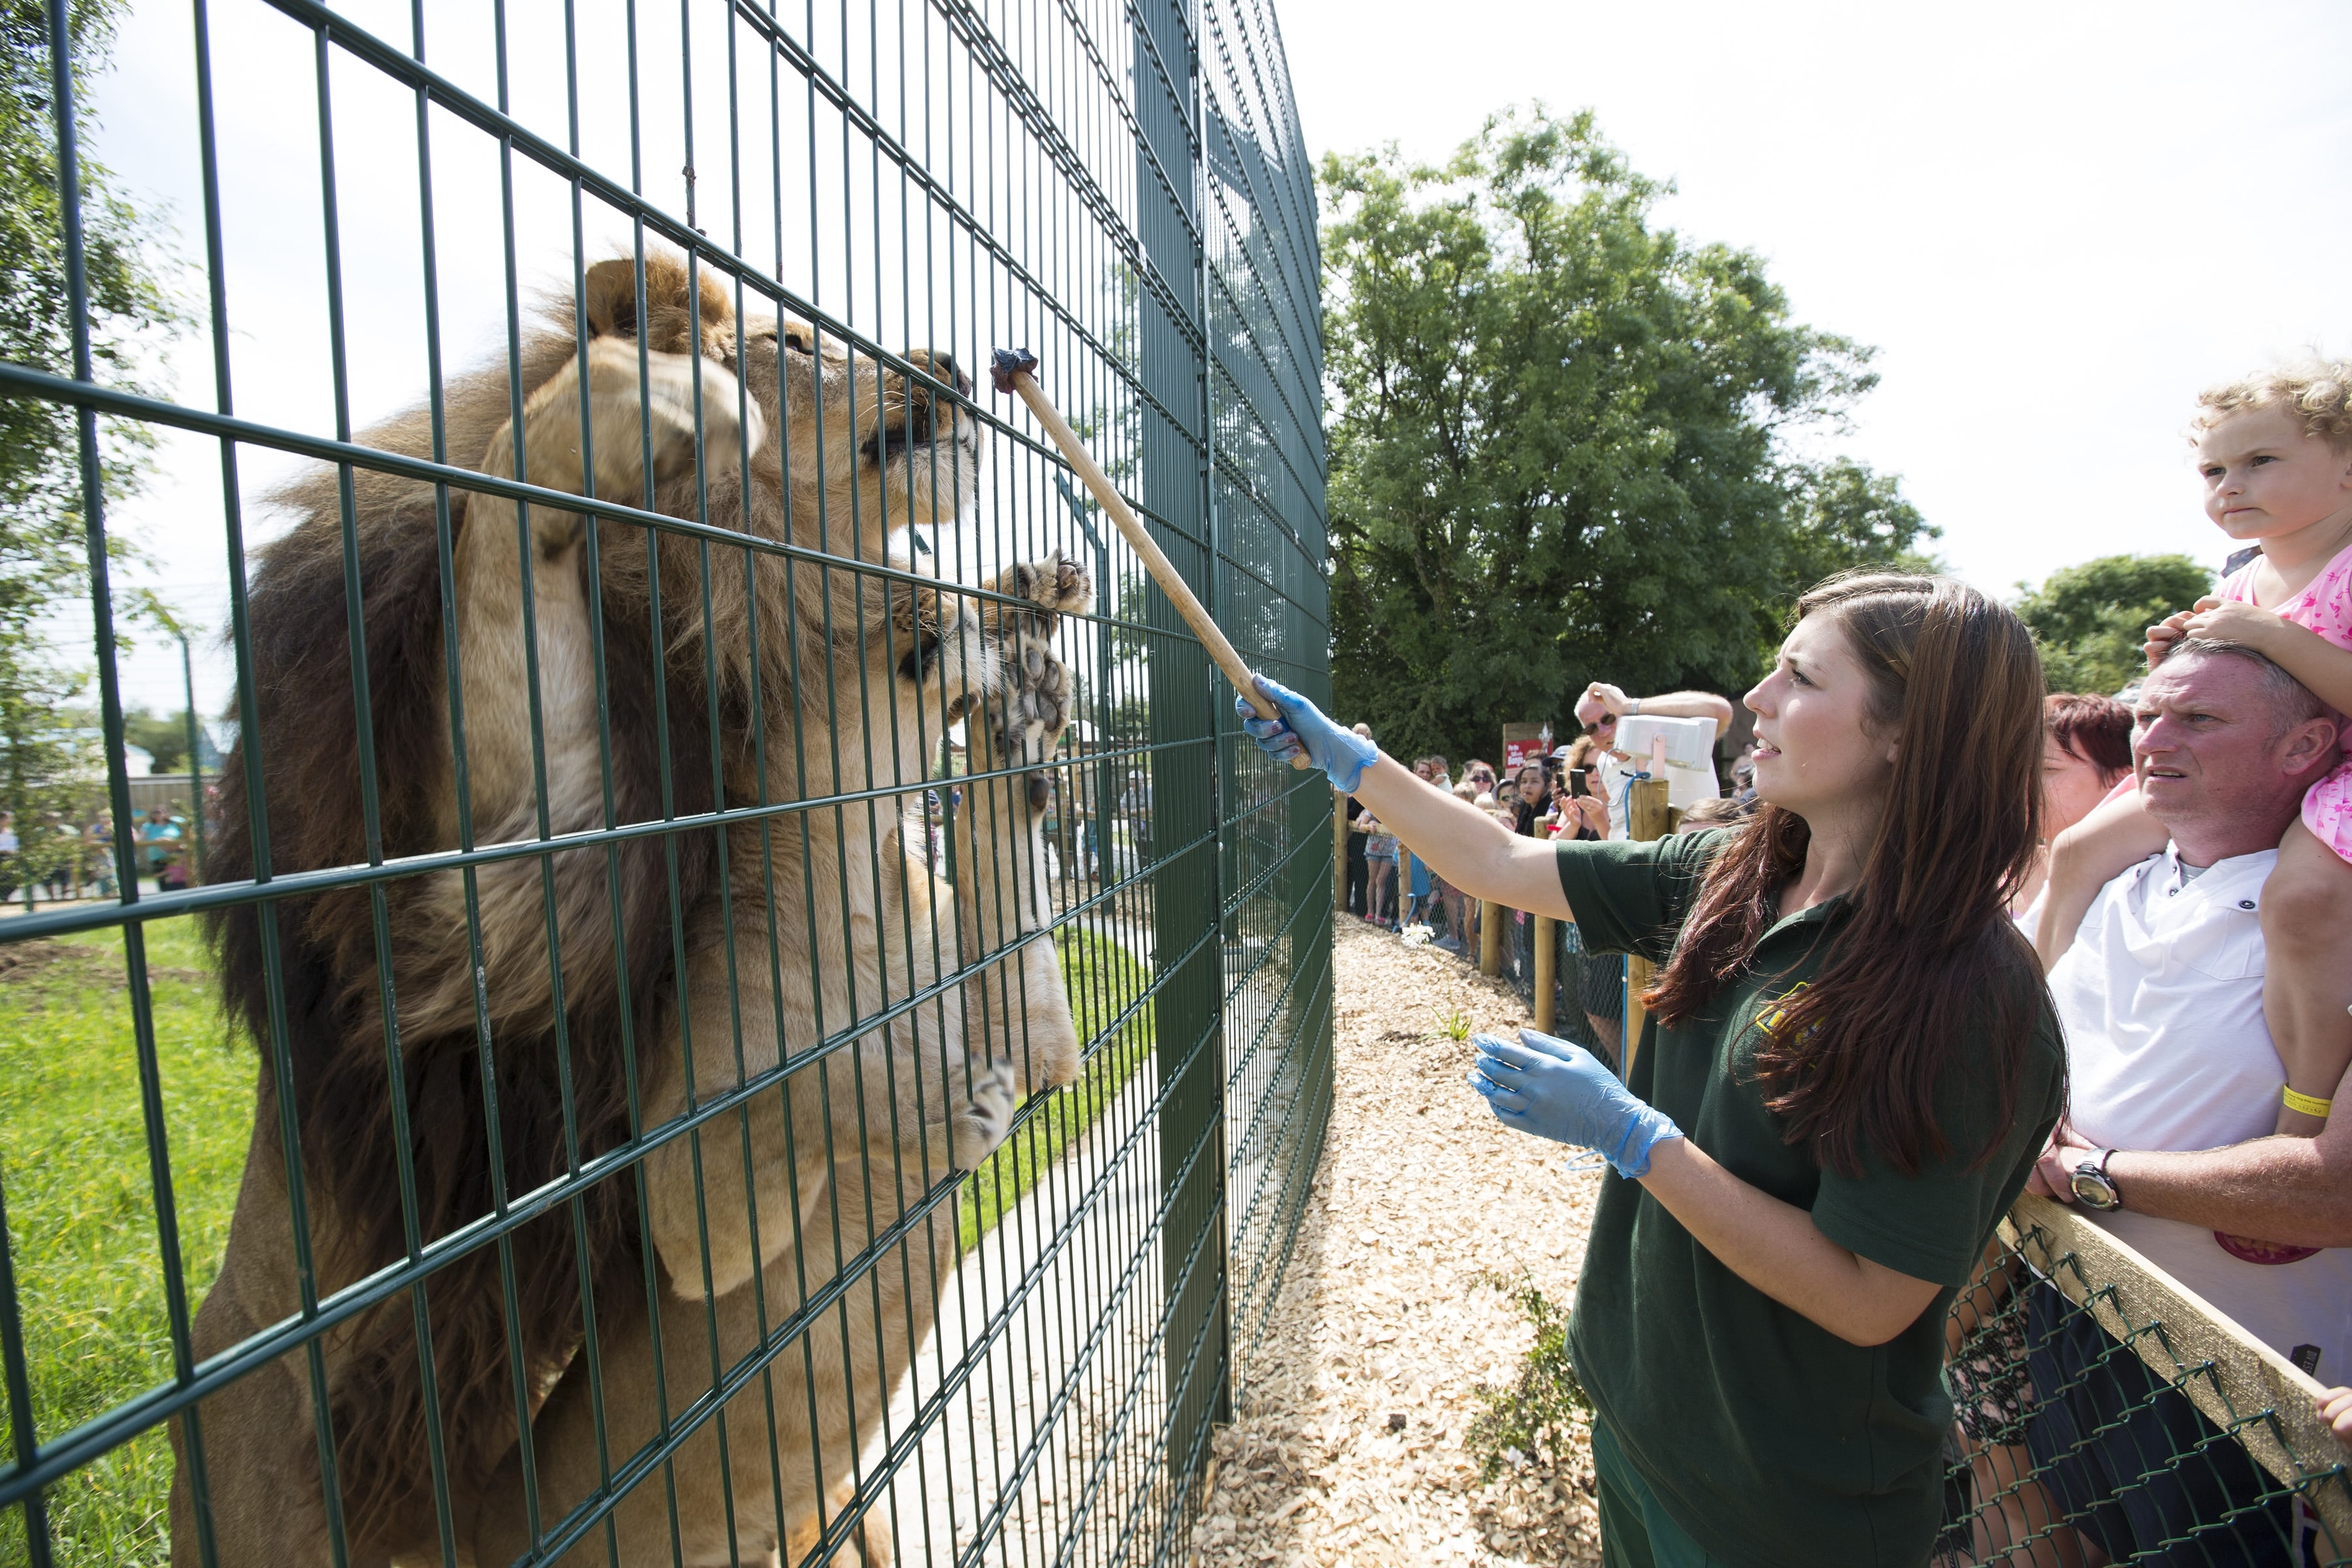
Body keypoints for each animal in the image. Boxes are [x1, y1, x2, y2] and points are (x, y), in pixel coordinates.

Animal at [174, 252, 1091, 1561]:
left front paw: (1024, 696)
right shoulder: (649, 1137)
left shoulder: (1038, 1031)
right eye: (791, 343)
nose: (958, 368)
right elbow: (790, 1092)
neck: (854, 871)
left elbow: (1012, 926)